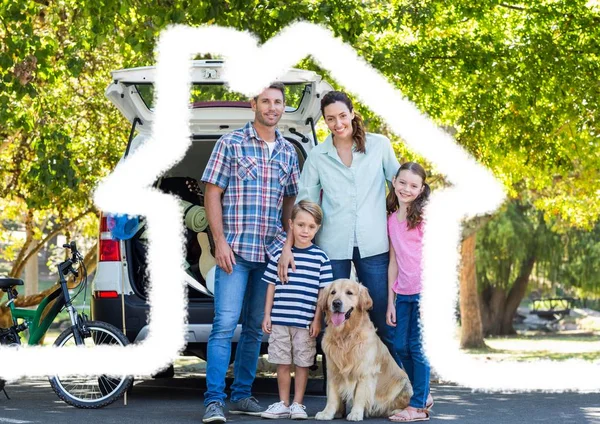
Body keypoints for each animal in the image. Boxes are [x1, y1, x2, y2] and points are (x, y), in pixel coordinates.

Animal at [314, 278, 412, 420]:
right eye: (333, 292)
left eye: (349, 292)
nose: (336, 303)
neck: (346, 335)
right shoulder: (333, 370)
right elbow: (331, 396)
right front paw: (327, 413)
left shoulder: (365, 372)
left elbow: (360, 395)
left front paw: (355, 413)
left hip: (403, 384)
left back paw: (397, 412)